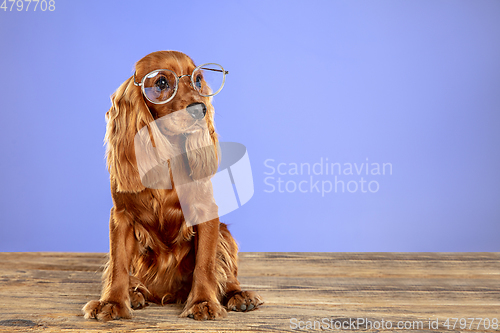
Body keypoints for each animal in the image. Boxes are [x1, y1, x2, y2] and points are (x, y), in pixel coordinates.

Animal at [83, 49, 262, 320]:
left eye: (198, 80)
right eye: (161, 83)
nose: (200, 109)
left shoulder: (206, 212)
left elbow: (206, 264)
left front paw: (202, 302)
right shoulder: (121, 215)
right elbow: (118, 265)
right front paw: (112, 302)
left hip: (225, 233)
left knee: (226, 273)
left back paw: (239, 295)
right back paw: (134, 293)